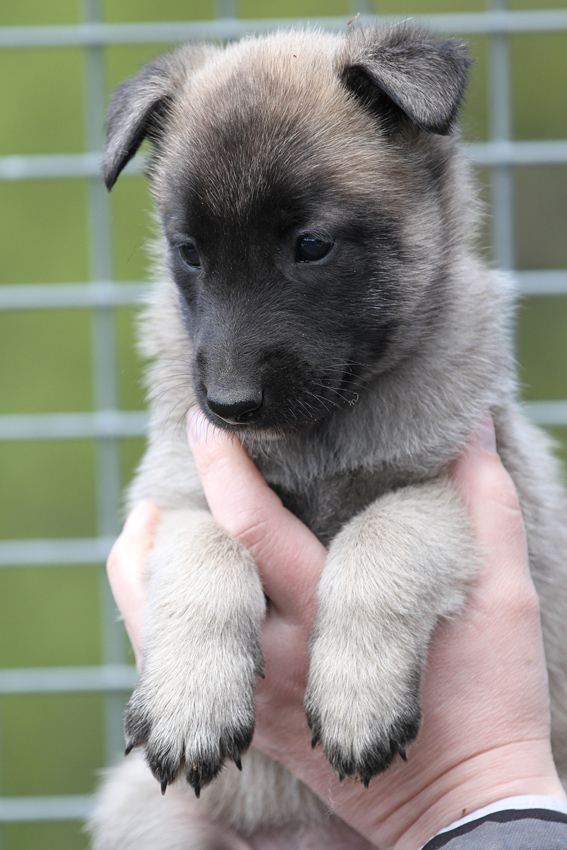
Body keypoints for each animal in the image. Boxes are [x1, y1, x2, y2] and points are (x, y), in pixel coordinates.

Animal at [89, 23, 567, 844]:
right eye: (190, 253)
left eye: (311, 245)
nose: (230, 404)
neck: (318, 435)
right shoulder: (175, 494)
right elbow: (208, 548)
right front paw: (191, 701)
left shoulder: (459, 486)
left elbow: (381, 535)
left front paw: (356, 700)